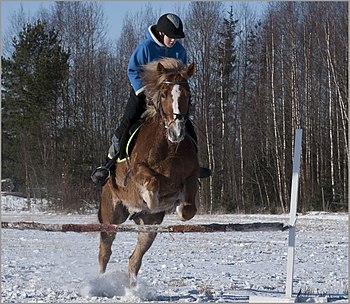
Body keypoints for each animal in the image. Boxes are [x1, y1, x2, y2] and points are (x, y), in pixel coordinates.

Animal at [97, 57, 200, 288]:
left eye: (188, 94)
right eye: (163, 95)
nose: (176, 132)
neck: (169, 147)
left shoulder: (192, 176)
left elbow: (189, 209)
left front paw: (178, 206)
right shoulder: (136, 170)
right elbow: (151, 183)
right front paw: (151, 199)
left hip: (149, 228)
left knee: (134, 260)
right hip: (112, 215)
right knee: (105, 251)